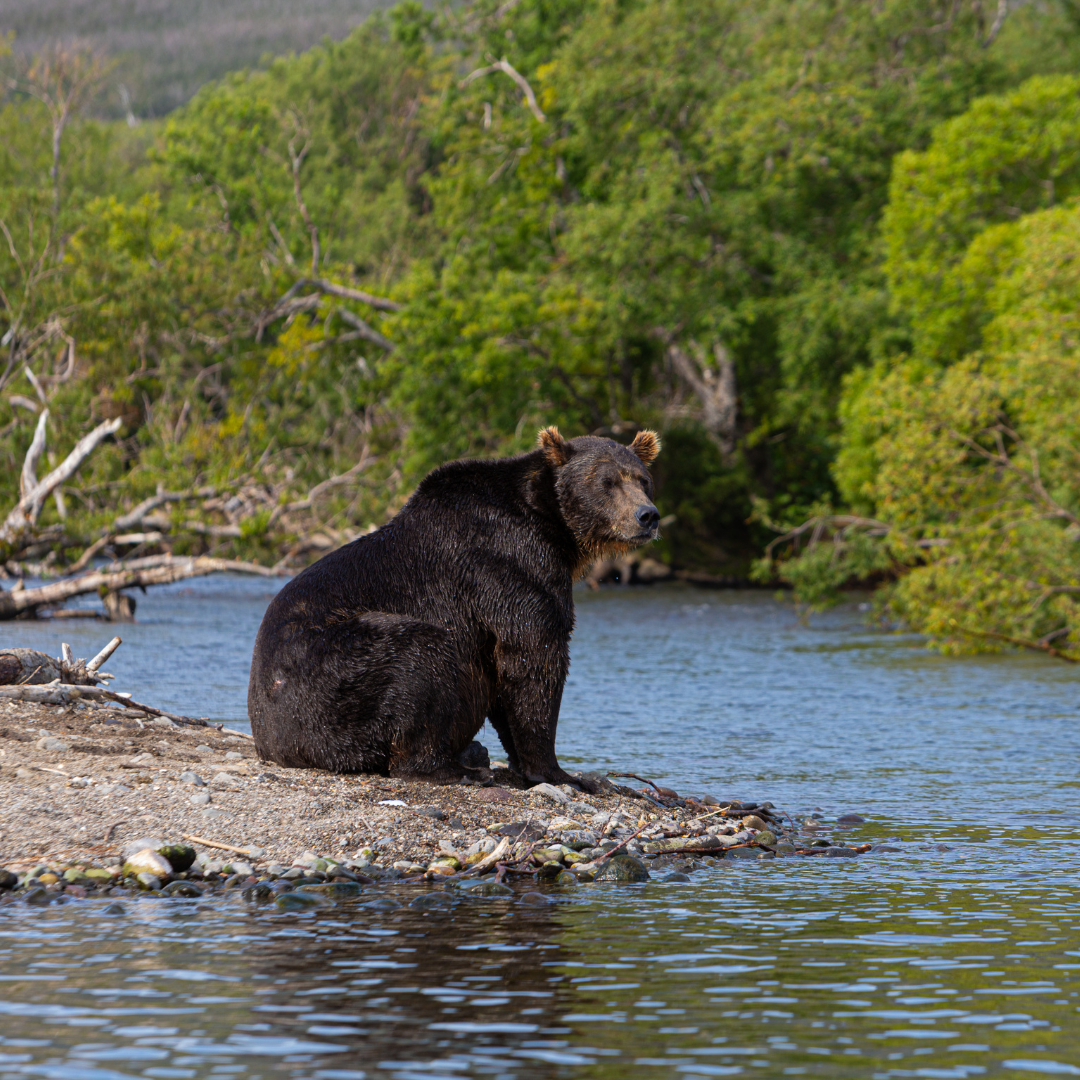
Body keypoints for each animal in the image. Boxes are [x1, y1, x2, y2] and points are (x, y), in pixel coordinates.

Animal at [247, 425, 660, 790]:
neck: (553, 526)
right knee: (419, 657)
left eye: (642, 479)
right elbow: (533, 656)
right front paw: (562, 773)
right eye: (607, 482)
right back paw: (458, 769)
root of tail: (270, 742)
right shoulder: (508, 566)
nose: (648, 515)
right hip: (333, 675)